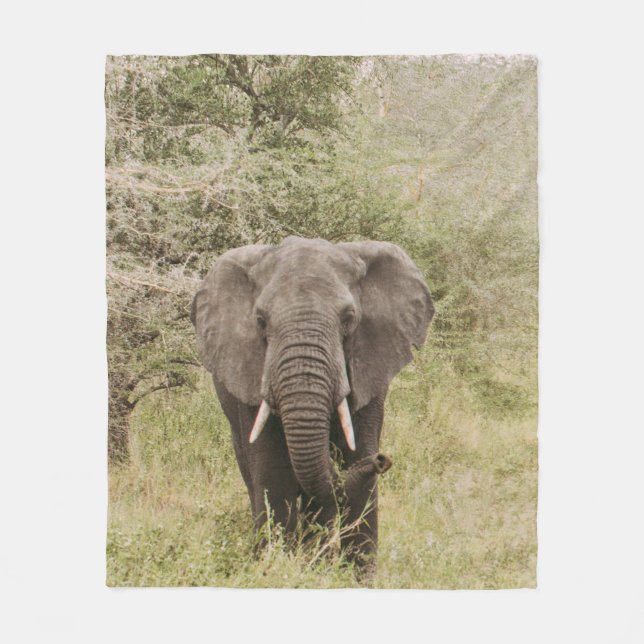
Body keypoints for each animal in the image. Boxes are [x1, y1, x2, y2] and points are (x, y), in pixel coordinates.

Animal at [191, 236, 433, 572]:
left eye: (349, 318)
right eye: (260, 321)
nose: (383, 459)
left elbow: (357, 464)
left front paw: (353, 577)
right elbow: (273, 474)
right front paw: (274, 568)